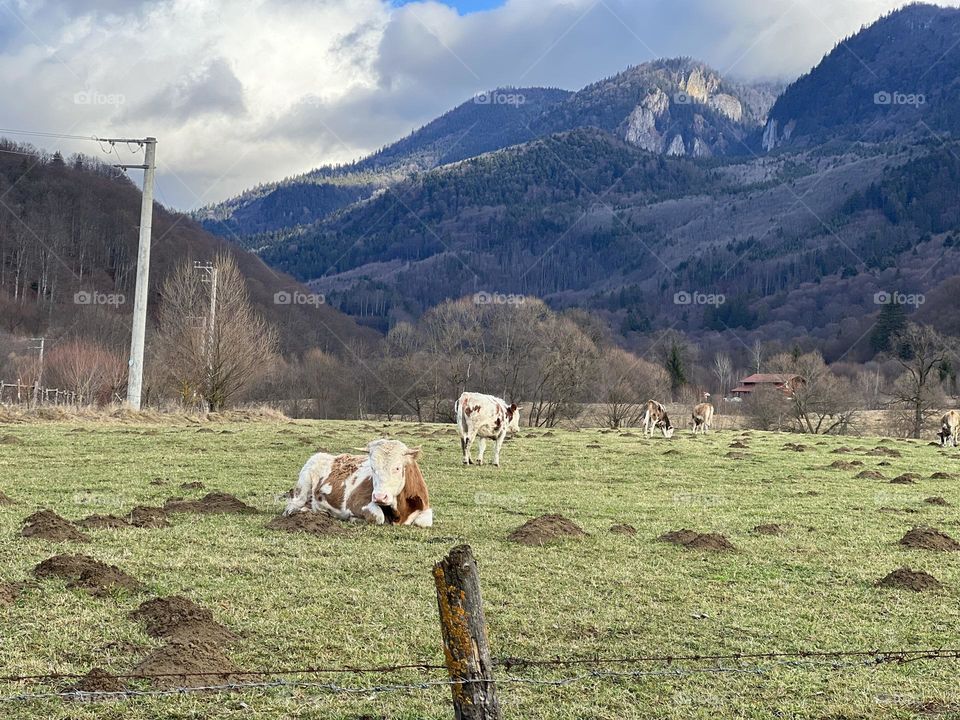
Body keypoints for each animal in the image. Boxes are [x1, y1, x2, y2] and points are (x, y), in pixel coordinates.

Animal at [283, 439, 432, 527]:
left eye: (397, 468)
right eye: (372, 467)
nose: (379, 497)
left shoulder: (425, 507)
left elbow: (424, 521)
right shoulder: (355, 503)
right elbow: (378, 517)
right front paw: (354, 519)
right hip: (303, 487)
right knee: (292, 506)